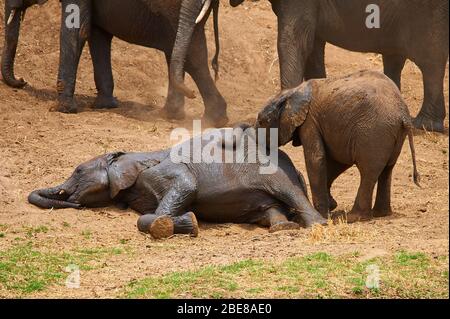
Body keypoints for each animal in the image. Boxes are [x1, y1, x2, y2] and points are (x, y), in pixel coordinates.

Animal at [2, 0, 229, 127]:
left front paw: (60, 108)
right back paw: (176, 115)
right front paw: (104, 105)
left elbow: (77, 28)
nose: (21, 80)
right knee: (180, 52)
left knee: (192, 56)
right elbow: (97, 35)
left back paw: (210, 119)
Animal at [28, 129, 326, 239]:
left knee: (289, 191)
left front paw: (184, 223)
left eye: (78, 171)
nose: (75, 204)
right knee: (268, 208)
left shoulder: (167, 171)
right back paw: (282, 228)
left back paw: (317, 225)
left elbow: (187, 186)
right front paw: (184, 221)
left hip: (275, 171)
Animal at [171, 0, 448, 132]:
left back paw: (425, 125)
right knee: (394, 57)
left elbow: (293, 38)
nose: (190, 93)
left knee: (431, 62)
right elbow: (313, 44)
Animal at [255, 71, 420, 224]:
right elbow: (337, 161)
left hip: (373, 132)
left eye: (262, 122)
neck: (292, 92)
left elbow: (316, 159)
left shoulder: (310, 122)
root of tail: (403, 113)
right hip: (391, 133)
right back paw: (381, 214)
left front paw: (323, 215)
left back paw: (354, 217)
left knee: (368, 172)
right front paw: (332, 205)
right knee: (387, 169)